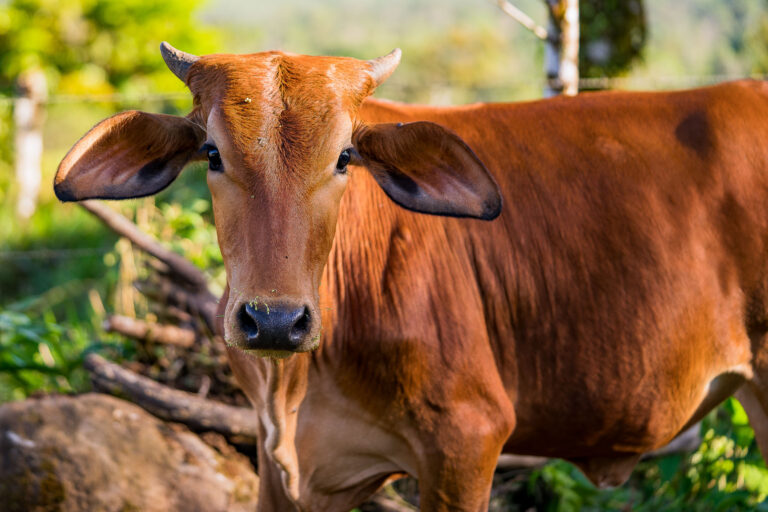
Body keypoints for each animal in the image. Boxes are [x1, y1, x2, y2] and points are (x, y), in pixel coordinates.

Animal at [54, 43, 768, 511]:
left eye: (345, 157)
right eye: (210, 153)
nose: (275, 321)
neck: (298, 383)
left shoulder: (466, 443)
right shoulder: (283, 463)